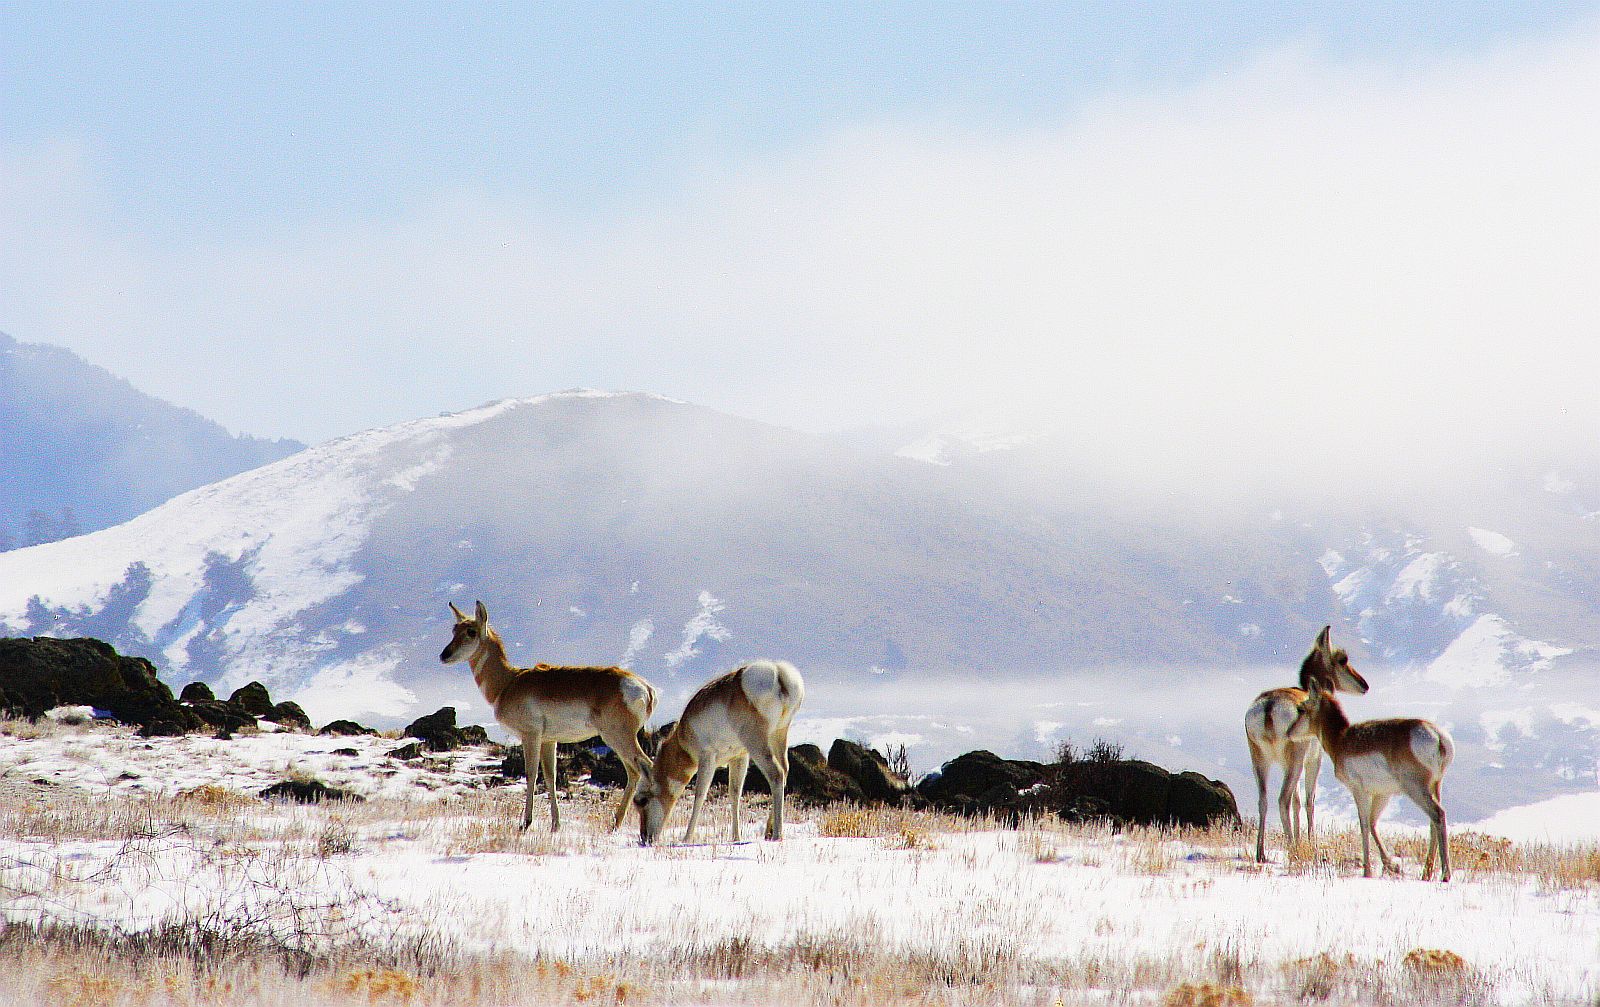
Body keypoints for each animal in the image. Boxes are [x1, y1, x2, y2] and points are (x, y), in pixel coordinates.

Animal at [440, 601, 657, 832]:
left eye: (471, 631)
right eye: (454, 630)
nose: (444, 655)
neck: (508, 682)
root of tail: (645, 688)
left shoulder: (531, 736)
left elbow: (531, 774)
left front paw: (525, 823)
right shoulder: (549, 741)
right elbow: (550, 776)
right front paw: (555, 824)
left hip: (618, 737)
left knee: (645, 768)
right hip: (618, 739)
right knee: (634, 773)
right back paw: (615, 824)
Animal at [634, 660, 804, 846]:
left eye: (641, 800)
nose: (644, 838)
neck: (682, 738)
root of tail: (777, 670)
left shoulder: (707, 758)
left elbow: (700, 795)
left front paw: (686, 838)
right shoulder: (739, 757)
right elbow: (735, 794)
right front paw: (736, 837)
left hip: (757, 743)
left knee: (776, 774)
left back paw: (777, 835)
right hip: (778, 735)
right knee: (785, 771)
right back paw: (768, 831)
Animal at [1244, 626, 1370, 863]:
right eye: (1342, 659)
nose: (1364, 685)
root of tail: (1269, 705)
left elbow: (1296, 801)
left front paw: (1299, 839)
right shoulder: (1314, 761)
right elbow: (1308, 800)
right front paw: (1311, 844)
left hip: (1261, 762)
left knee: (1264, 800)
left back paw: (1261, 853)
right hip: (1295, 762)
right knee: (1282, 799)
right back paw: (1291, 850)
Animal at [1288, 676, 1454, 881]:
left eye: (1301, 709)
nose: (1288, 732)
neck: (1341, 739)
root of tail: (1437, 736)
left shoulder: (1359, 792)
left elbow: (1364, 824)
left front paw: (1367, 871)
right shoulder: (1381, 795)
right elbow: (1373, 823)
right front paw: (1391, 865)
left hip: (1416, 789)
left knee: (1438, 814)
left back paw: (1445, 875)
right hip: (1434, 787)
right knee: (1433, 821)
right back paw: (1426, 873)